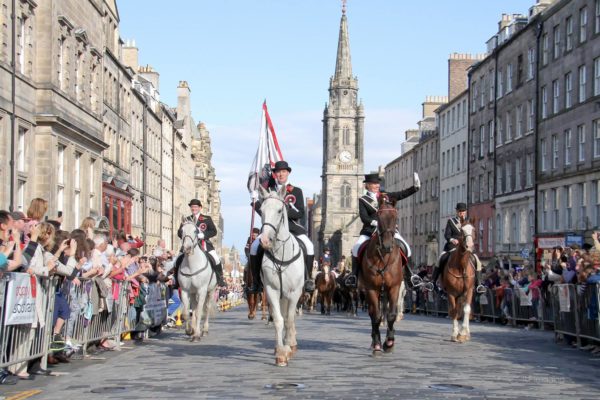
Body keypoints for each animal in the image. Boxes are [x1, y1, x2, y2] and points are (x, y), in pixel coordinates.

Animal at [258, 186, 304, 368]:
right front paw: (281, 354)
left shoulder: (294, 292)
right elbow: (279, 320)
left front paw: (289, 347)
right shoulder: (272, 290)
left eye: (279, 210)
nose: (264, 240)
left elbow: (290, 319)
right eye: (261, 211)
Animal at [358, 195, 406, 354]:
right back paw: (374, 341)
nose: (387, 245)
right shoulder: (371, 289)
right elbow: (377, 316)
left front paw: (389, 342)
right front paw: (378, 343)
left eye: (395, 217)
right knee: (373, 314)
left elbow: (391, 315)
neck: (383, 257)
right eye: (378, 217)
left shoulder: (394, 287)